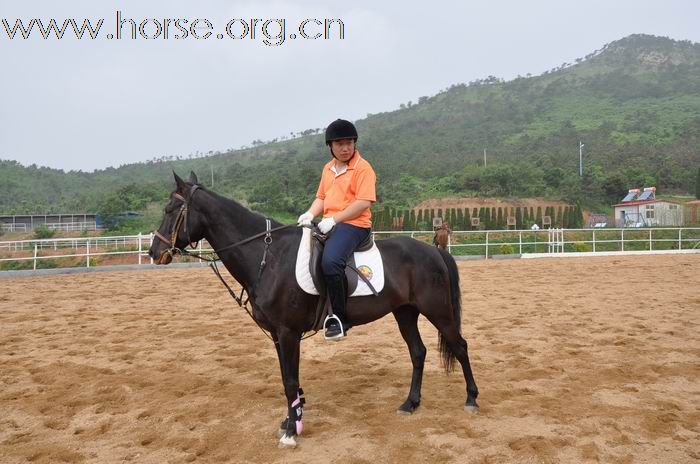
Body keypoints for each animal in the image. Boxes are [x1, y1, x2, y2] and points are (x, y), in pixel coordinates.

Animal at [146, 172, 478, 448]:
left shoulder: (288, 332)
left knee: (459, 346)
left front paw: (292, 432)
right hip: (405, 312)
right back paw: (410, 403)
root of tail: (433, 251)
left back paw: (471, 399)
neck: (267, 256)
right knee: (418, 352)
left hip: (438, 311)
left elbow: (290, 381)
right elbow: (286, 378)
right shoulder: (277, 335)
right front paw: (291, 420)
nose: (154, 253)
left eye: (170, 210)